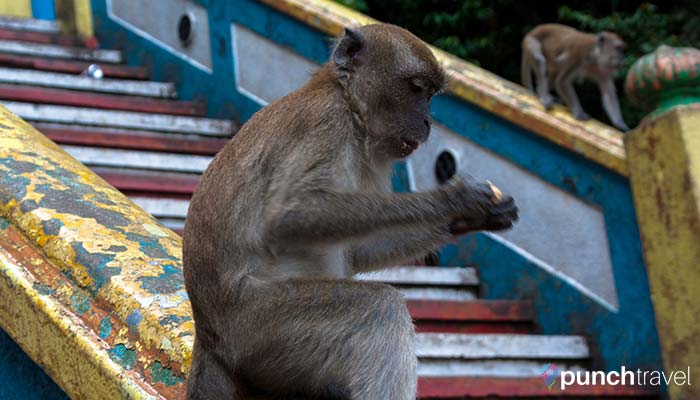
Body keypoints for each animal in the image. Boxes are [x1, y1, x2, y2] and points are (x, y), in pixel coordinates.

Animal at [183, 23, 516, 398]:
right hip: (257, 327)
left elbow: (358, 249)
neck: (350, 105)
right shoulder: (327, 126)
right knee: (381, 309)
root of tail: (208, 330)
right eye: (416, 89)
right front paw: (455, 199)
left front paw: (477, 217)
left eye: (430, 94)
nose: (427, 122)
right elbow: (288, 217)